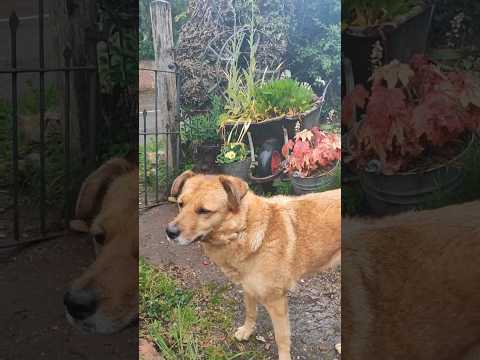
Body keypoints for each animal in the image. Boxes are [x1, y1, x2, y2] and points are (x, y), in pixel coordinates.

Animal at [167, 172, 340, 360]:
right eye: (180, 204)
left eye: (204, 211)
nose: (169, 232)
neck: (243, 229)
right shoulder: (248, 287)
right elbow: (250, 313)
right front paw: (246, 331)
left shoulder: (277, 302)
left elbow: (281, 337)